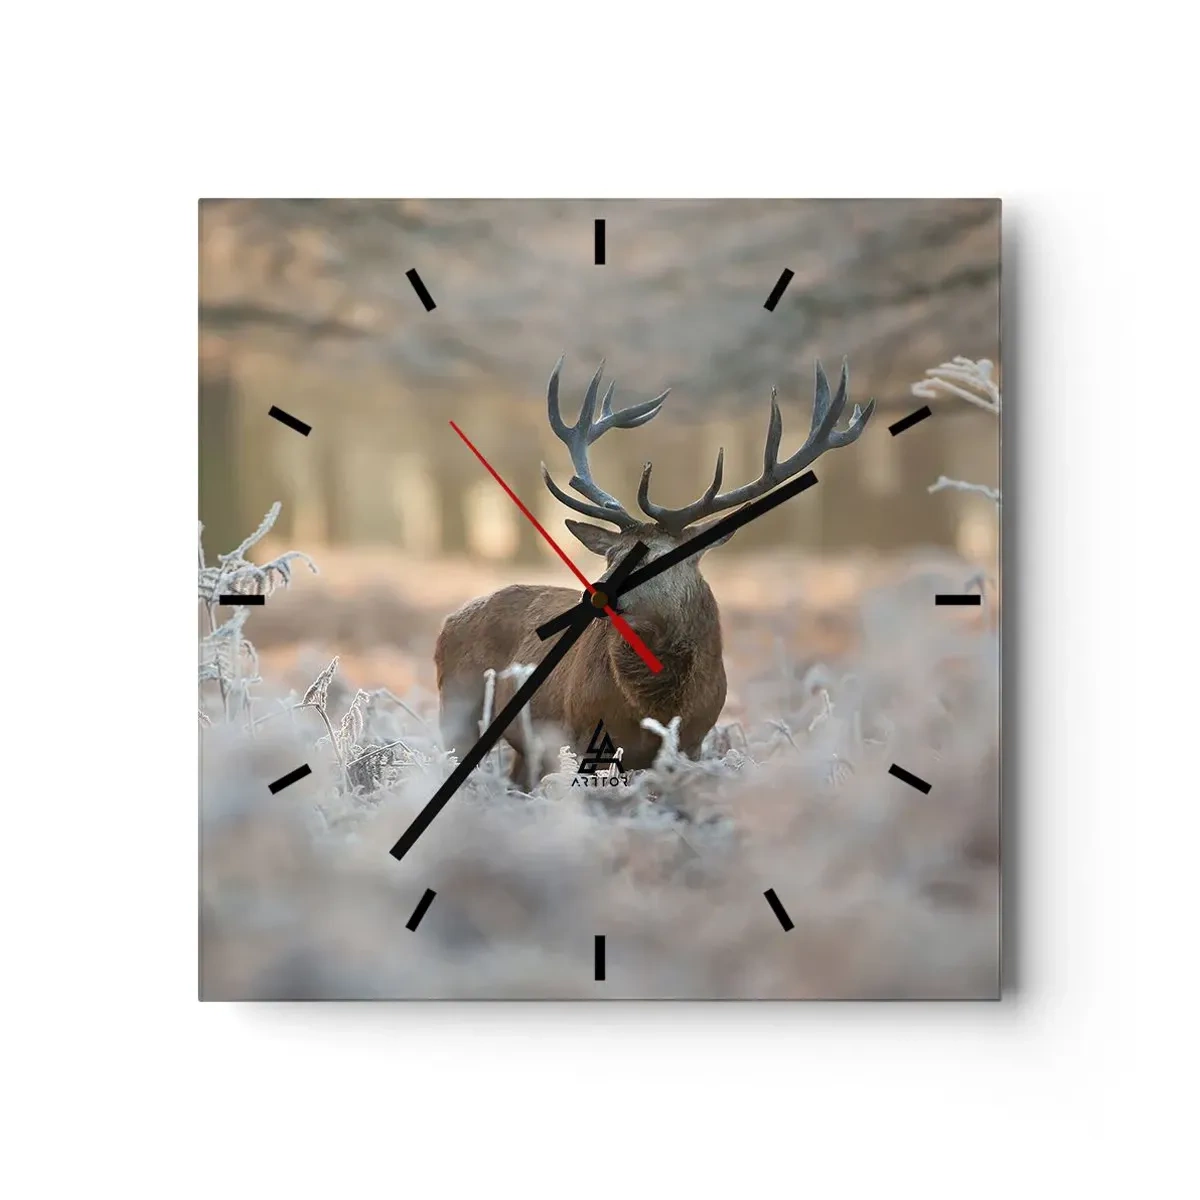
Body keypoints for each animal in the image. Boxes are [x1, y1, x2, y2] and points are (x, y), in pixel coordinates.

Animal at [434, 356, 874, 789]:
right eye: (611, 555)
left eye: (662, 557)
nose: (596, 593)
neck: (657, 706)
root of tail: (449, 619)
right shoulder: (580, 731)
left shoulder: (694, 740)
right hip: (456, 704)